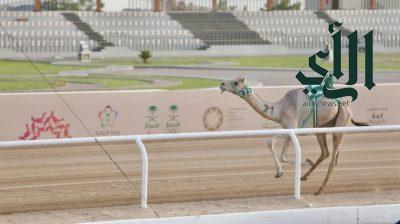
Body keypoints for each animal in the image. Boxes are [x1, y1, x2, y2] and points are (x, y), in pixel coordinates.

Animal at [220, 76, 368, 194]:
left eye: (235, 82)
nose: (221, 84)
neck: (279, 109)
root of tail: (345, 105)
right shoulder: (287, 128)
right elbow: (282, 155)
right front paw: (290, 169)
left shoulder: (293, 126)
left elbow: (271, 142)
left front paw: (290, 168)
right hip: (322, 127)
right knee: (325, 152)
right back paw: (304, 176)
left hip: (341, 122)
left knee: (332, 157)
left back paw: (320, 189)